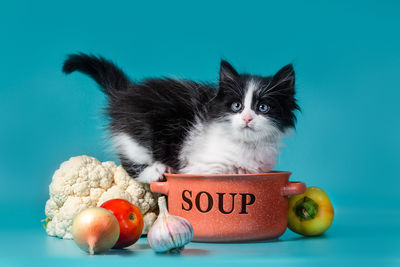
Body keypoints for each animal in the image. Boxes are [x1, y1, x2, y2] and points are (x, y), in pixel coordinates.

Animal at [62, 54, 298, 184]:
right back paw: (156, 171)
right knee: (128, 160)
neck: (245, 145)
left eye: (263, 107)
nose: (247, 118)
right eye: (236, 106)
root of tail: (126, 92)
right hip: (138, 133)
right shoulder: (203, 168)